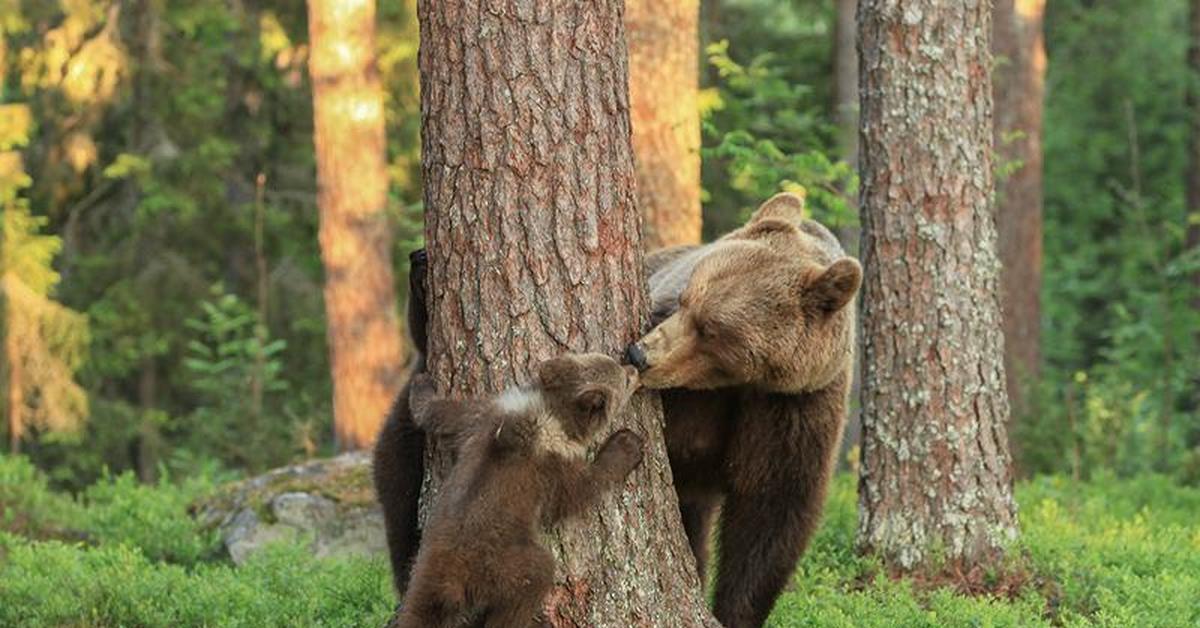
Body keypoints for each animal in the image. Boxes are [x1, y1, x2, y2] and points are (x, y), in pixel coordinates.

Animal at [628, 193, 864, 628]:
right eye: (686, 298)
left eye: (712, 329)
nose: (640, 355)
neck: (736, 384)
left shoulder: (793, 407)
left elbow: (772, 510)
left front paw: (732, 612)